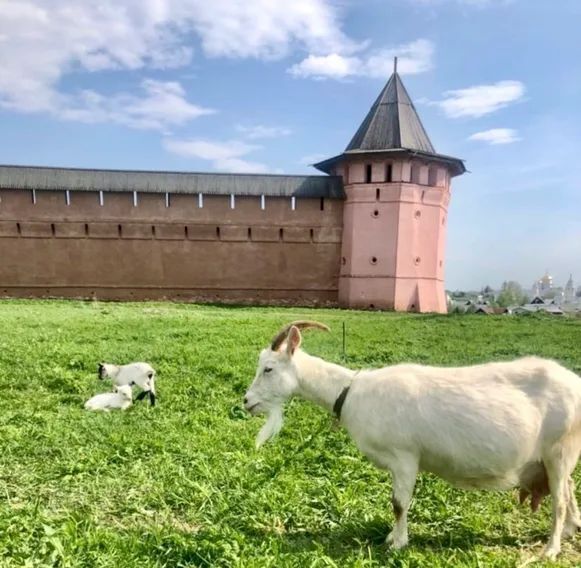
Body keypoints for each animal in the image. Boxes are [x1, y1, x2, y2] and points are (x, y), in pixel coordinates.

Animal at [242, 322, 580, 556]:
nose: (247, 402)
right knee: (568, 489)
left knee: (560, 499)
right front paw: (393, 537)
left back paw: (551, 549)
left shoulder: (405, 457)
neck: (353, 393)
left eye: (268, 369)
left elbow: (398, 503)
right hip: (555, 456)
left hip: (559, 449)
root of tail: (575, 383)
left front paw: (397, 543)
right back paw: (569, 531)